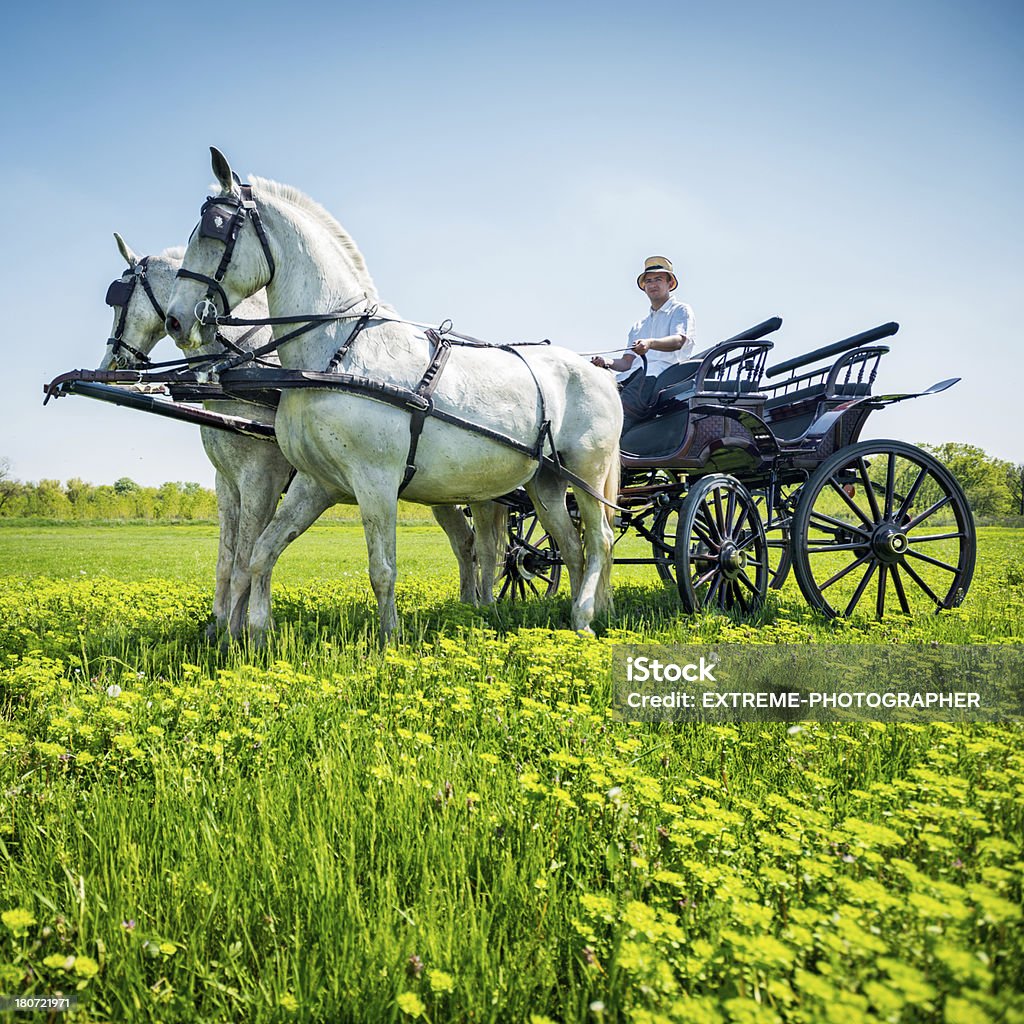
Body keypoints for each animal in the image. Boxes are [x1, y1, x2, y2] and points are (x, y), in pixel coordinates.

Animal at [98, 234, 487, 630]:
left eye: (121, 296)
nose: (111, 363)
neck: (255, 369)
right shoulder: (228, 483)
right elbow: (226, 561)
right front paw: (219, 624)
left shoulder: (260, 479)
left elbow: (243, 561)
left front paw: (237, 630)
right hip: (443, 490)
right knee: (468, 543)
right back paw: (470, 606)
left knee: (477, 545)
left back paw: (479, 605)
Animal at [163, 148, 618, 634]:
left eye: (216, 228)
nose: (176, 320)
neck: (338, 351)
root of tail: (597, 371)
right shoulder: (316, 482)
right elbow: (261, 552)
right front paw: (256, 633)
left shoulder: (376, 480)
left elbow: (382, 568)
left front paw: (389, 638)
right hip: (546, 483)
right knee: (570, 546)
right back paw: (575, 615)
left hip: (587, 475)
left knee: (600, 540)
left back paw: (585, 614)